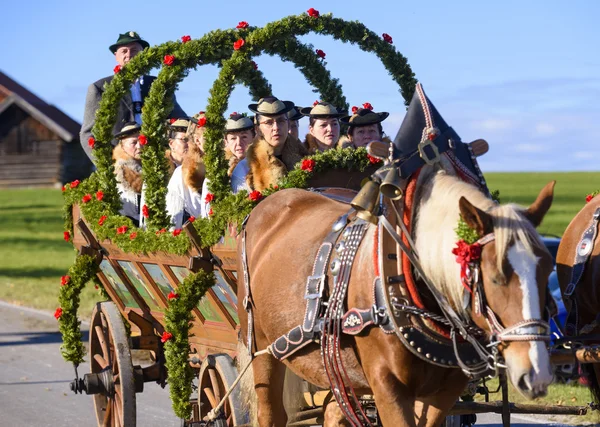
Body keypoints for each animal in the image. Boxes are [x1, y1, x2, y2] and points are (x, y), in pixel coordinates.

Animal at [237, 84, 556, 427]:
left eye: (547, 270)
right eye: (495, 278)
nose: (536, 374)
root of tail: (267, 203)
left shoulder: (445, 390)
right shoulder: (387, 384)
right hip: (262, 348)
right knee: (271, 411)